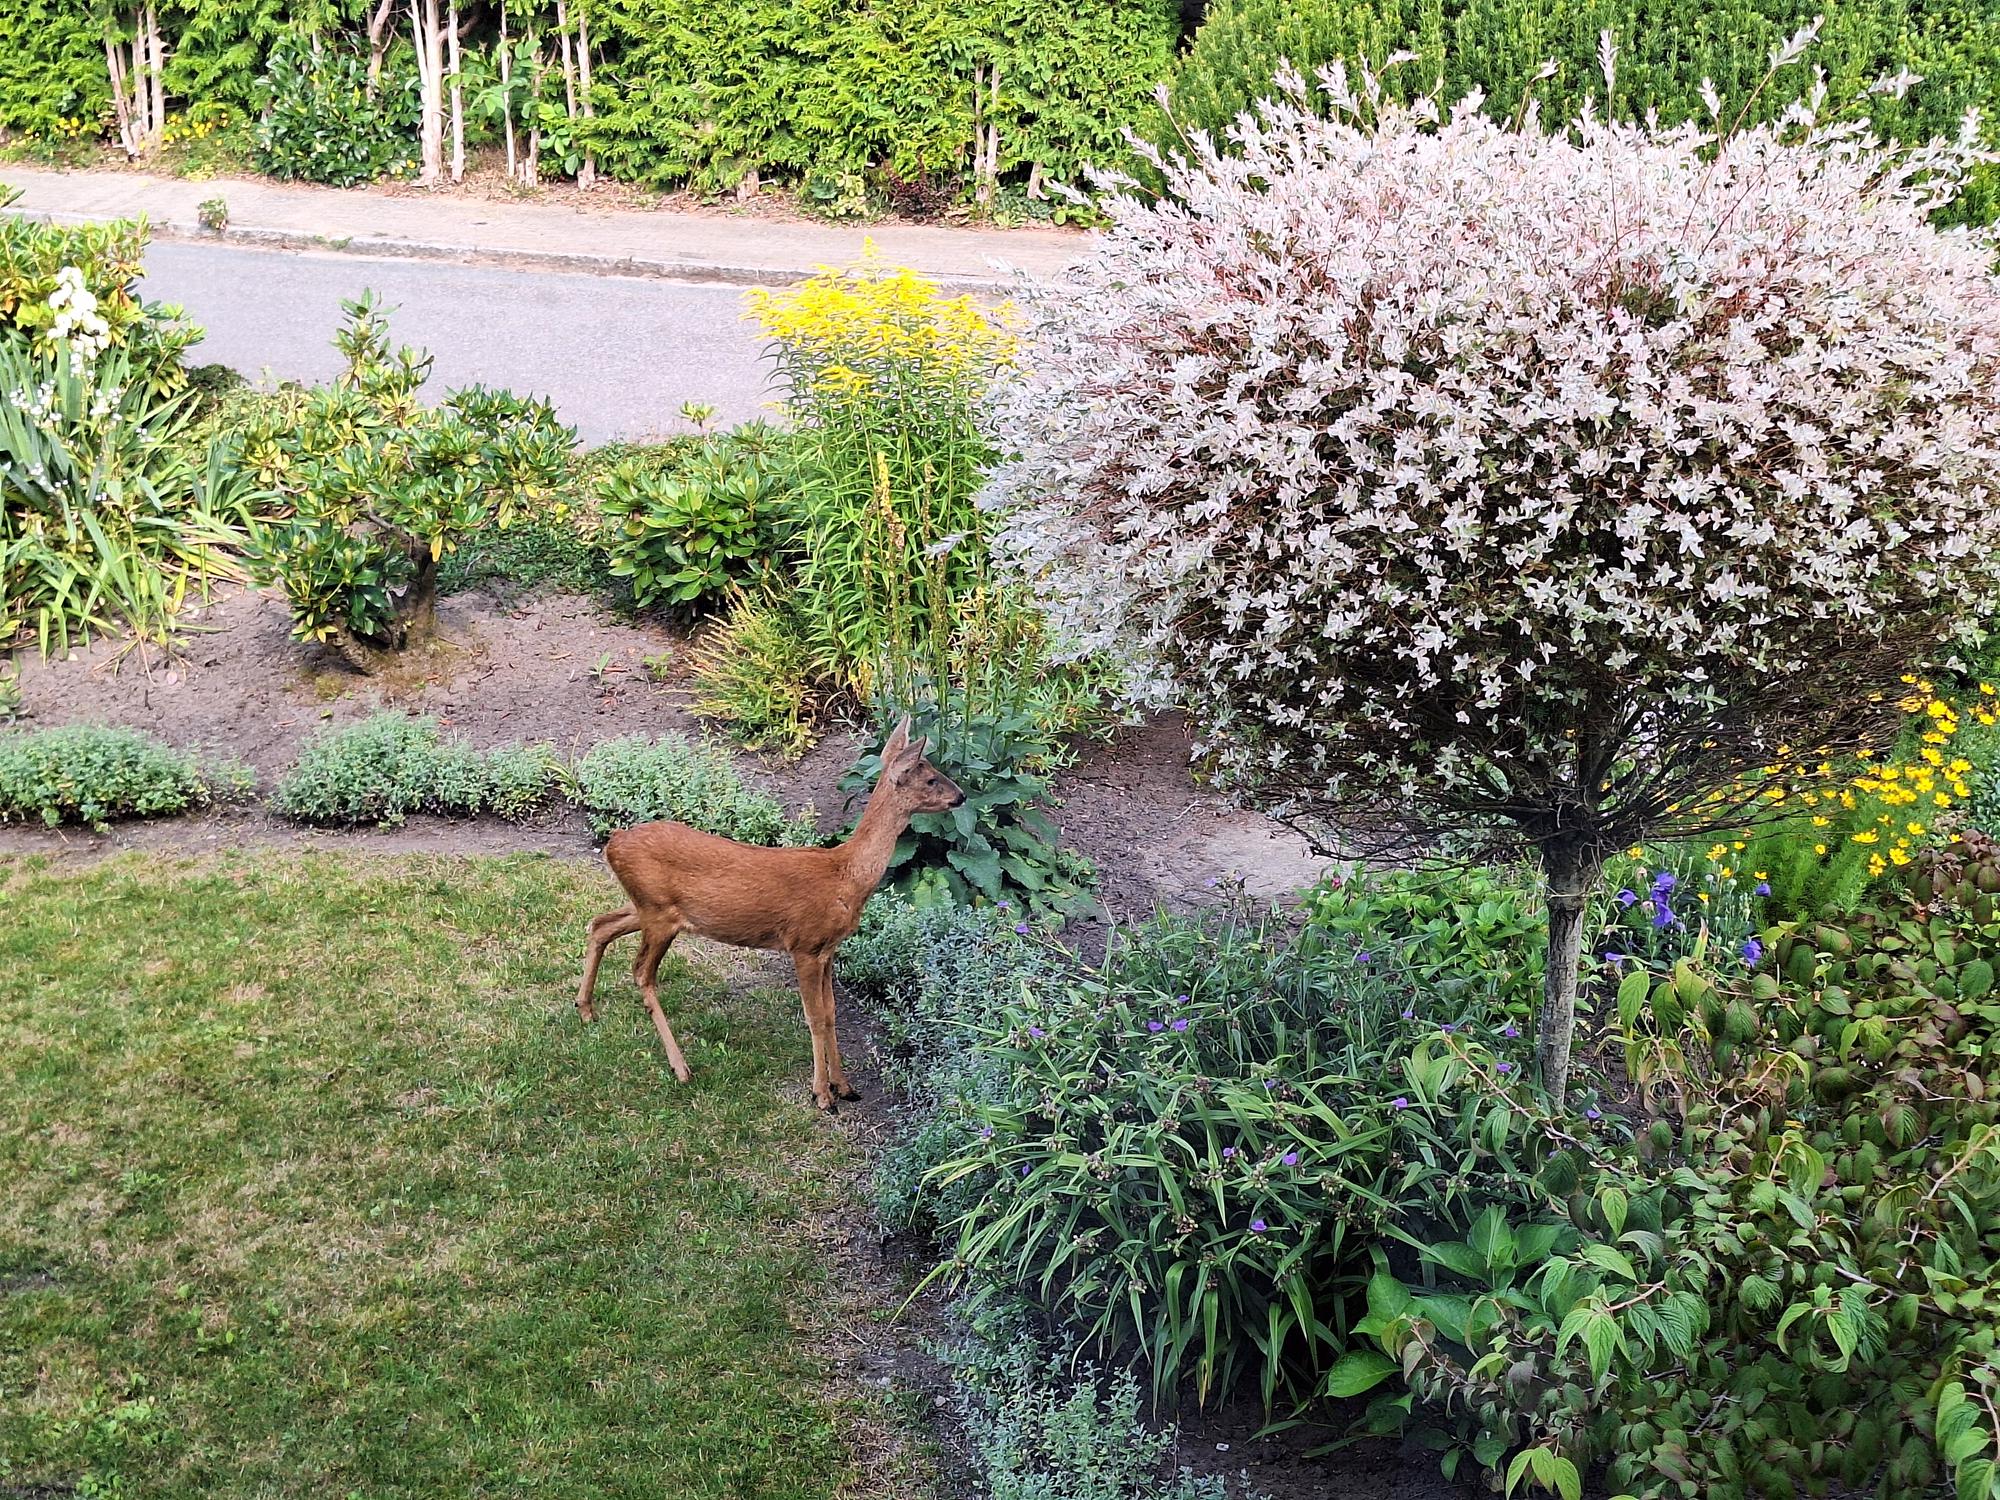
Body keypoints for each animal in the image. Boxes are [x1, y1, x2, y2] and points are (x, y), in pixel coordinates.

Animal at [575, 717, 965, 1112]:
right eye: (931, 778)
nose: (961, 796)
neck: (845, 877)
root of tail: (613, 842)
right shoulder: (804, 945)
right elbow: (814, 1017)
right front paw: (822, 1094)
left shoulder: (828, 950)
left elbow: (830, 1013)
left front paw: (844, 1086)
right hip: (658, 914)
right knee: (641, 971)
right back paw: (680, 1067)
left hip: (650, 907)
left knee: (600, 924)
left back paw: (586, 1009)